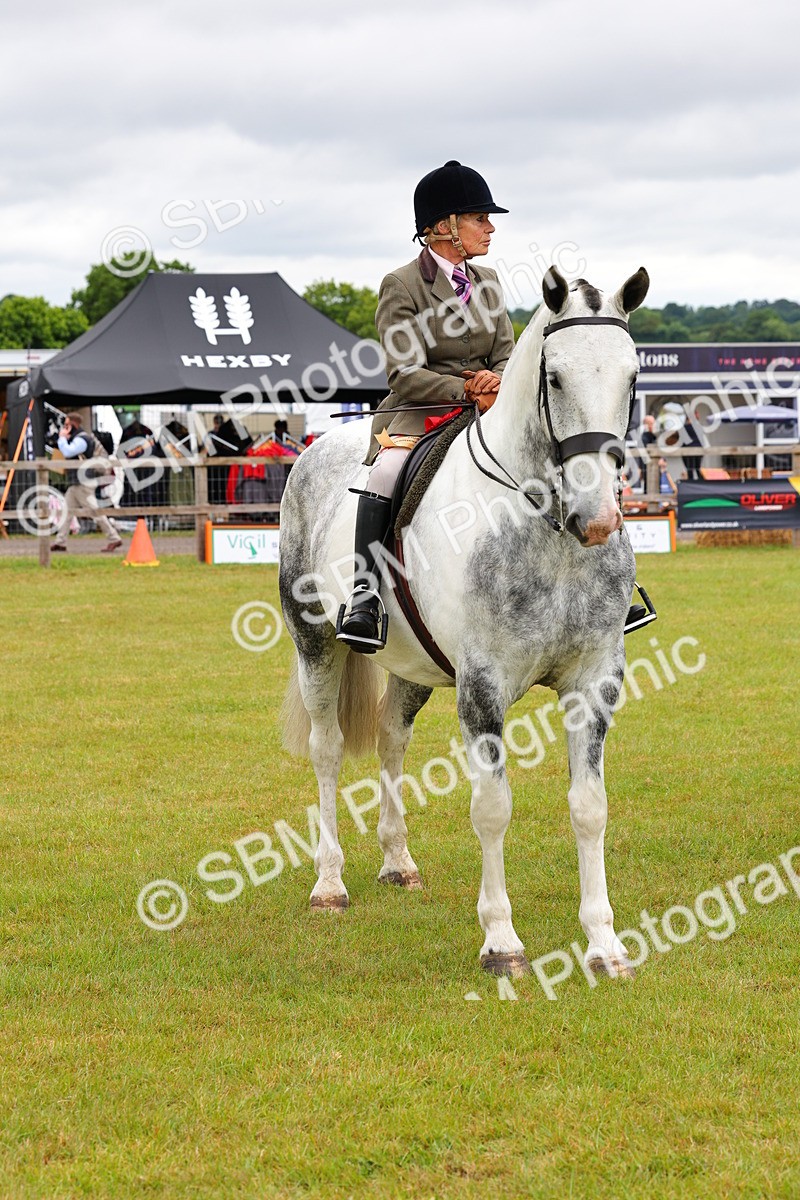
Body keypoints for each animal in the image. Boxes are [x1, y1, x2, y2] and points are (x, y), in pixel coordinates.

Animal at [278, 263, 650, 978]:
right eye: (555, 378)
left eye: (633, 376)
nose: (597, 521)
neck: (548, 531)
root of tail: (320, 445)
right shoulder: (482, 687)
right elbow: (493, 808)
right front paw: (502, 943)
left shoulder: (594, 681)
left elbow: (590, 808)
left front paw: (604, 944)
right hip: (316, 643)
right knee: (327, 748)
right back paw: (329, 884)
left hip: (413, 664)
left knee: (391, 738)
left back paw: (398, 863)